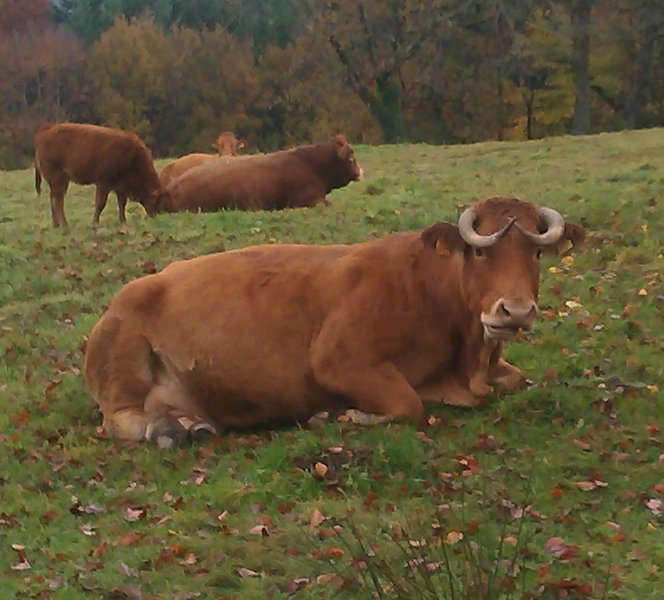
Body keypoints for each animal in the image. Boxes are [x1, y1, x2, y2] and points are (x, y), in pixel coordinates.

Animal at [84, 197, 585, 447]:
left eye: (537, 252)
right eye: (480, 252)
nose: (515, 311)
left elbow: (520, 380)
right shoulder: (337, 360)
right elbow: (408, 404)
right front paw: (342, 415)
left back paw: (192, 423)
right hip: (124, 360)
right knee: (120, 419)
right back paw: (167, 429)